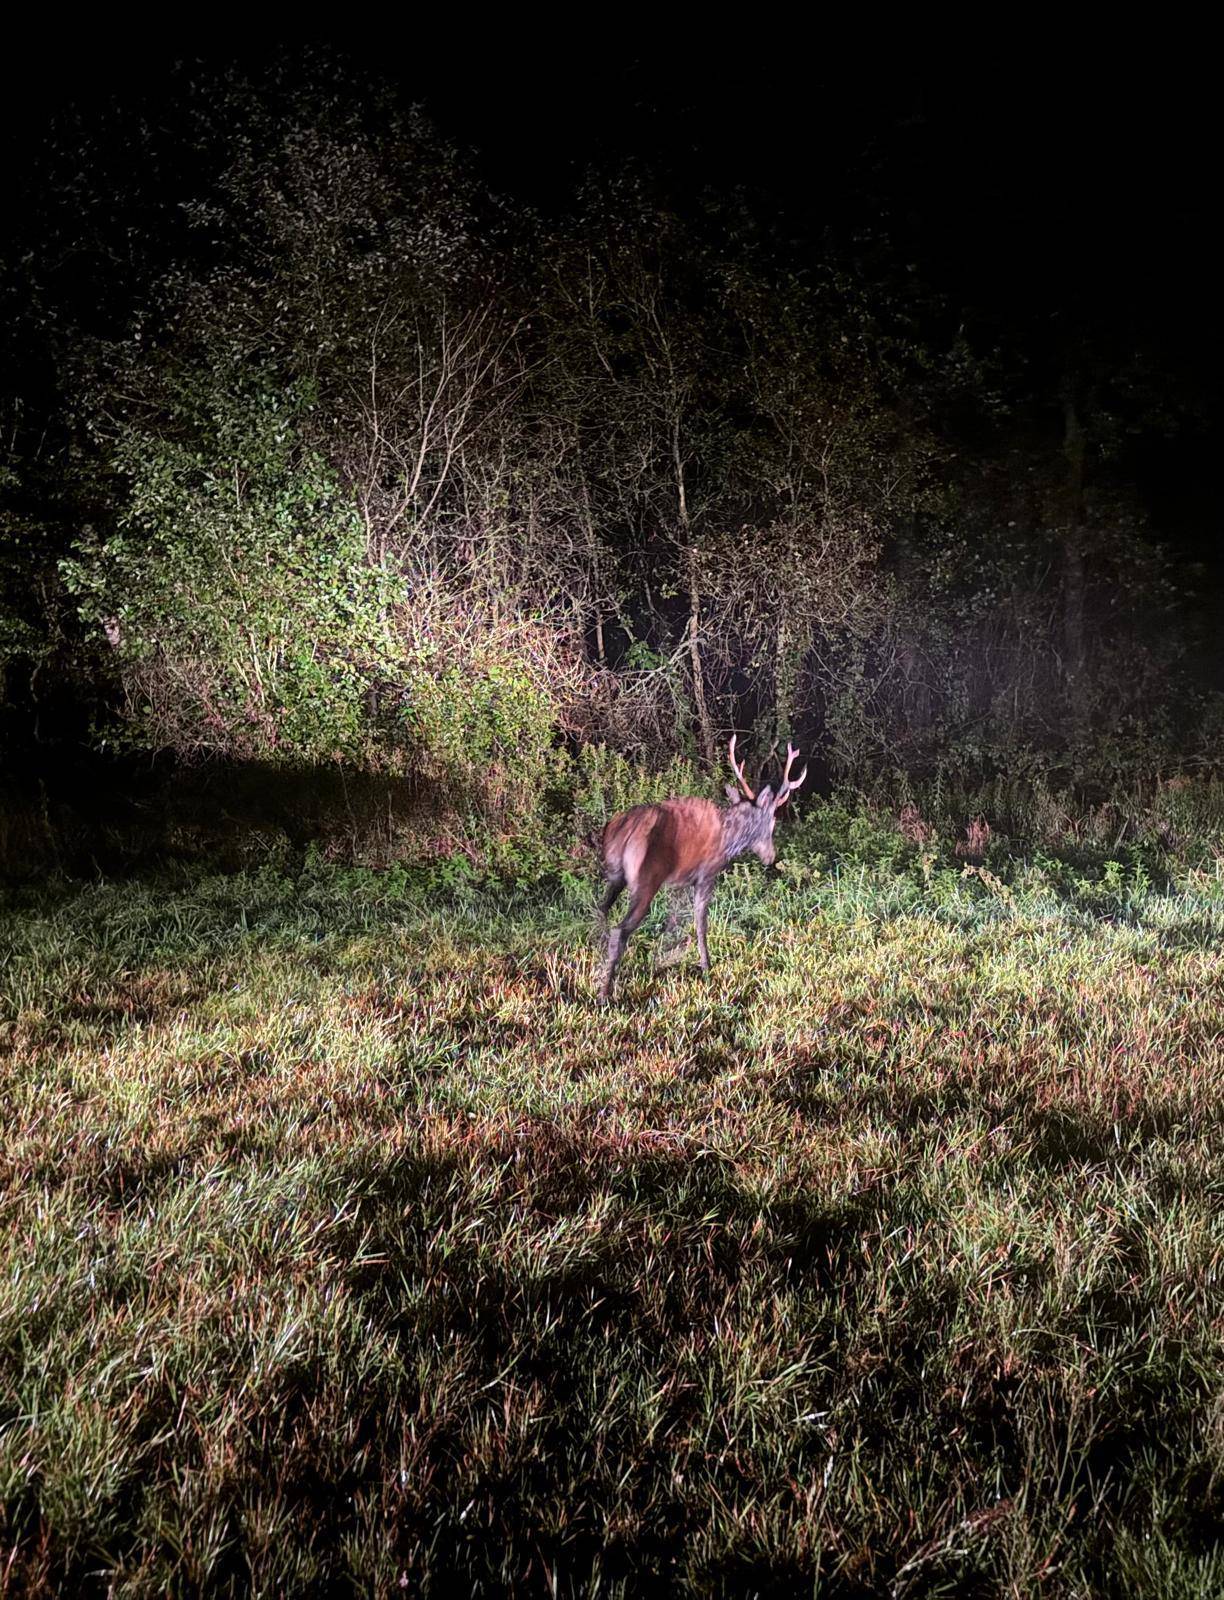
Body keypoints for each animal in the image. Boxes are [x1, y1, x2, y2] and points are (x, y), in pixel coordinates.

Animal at [596, 737, 808, 1000]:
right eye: (771, 822)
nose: (771, 856)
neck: (730, 839)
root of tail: (624, 828)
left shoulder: (678, 883)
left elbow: (673, 921)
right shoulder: (707, 874)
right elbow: (700, 922)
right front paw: (706, 967)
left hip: (616, 876)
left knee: (602, 909)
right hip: (646, 881)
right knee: (620, 930)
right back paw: (605, 993)